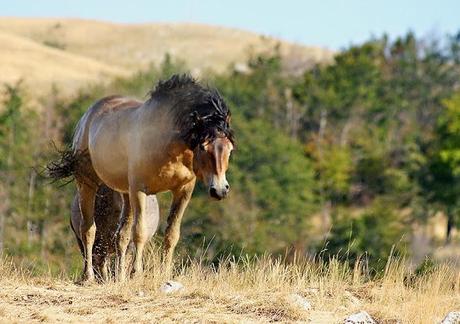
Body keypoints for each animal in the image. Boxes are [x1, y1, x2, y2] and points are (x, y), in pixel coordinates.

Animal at [47, 74, 234, 282]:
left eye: (230, 149)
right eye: (203, 146)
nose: (220, 190)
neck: (168, 141)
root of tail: (88, 115)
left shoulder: (183, 190)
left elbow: (171, 234)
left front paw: (165, 274)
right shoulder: (140, 189)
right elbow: (140, 232)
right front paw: (136, 273)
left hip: (125, 193)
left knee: (121, 236)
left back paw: (120, 277)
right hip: (87, 183)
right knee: (88, 230)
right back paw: (88, 277)